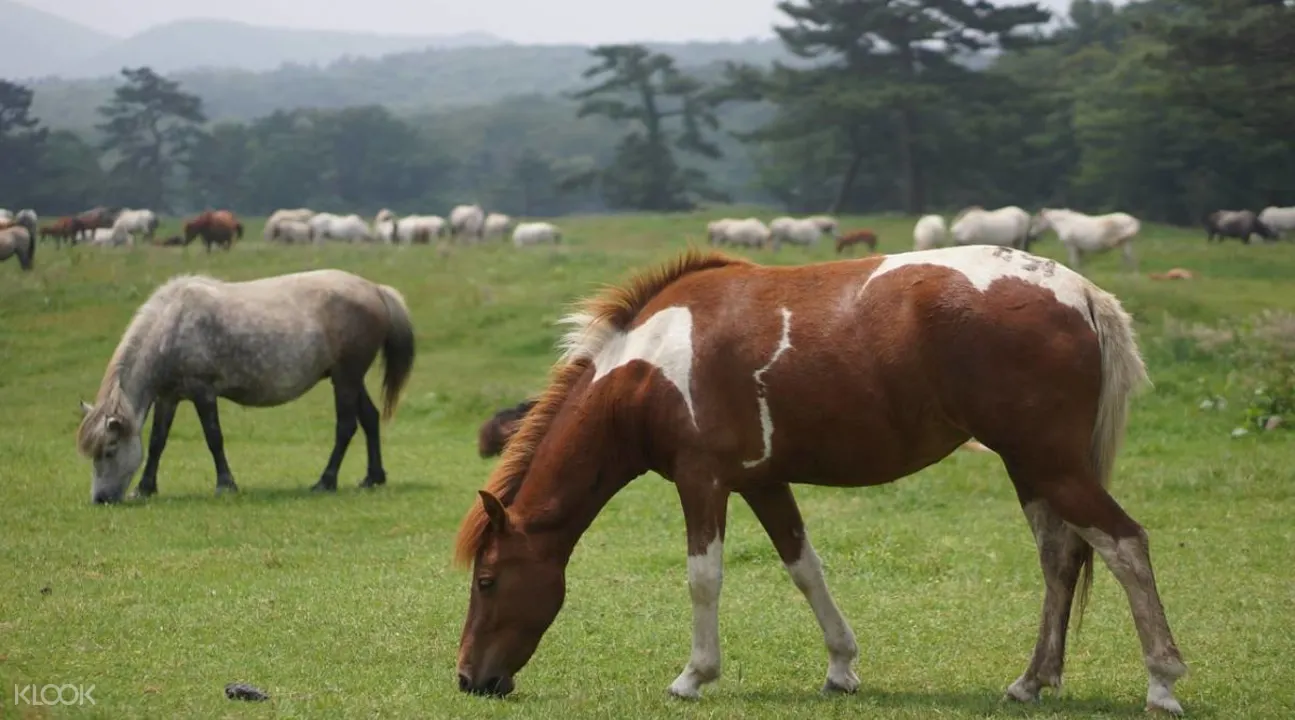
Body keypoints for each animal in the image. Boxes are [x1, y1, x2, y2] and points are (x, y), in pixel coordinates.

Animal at [75, 269, 417, 504]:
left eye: (109, 450)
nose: (101, 499)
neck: (171, 326)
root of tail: (375, 289)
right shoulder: (168, 397)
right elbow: (159, 441)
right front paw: (145, 488)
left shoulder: (203, 392)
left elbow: (214, 438)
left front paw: (225, 484)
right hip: (348, 377)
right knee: (370, 418)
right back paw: (373, 478)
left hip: (346, 378)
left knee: (346, 426)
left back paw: (326, 481)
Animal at [451, 246, 1188, 715]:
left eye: (486, 580)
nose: (468, 678)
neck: (647, 367)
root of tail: (1080, 292)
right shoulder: (762, 483)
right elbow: (804, 568)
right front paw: (840, 668)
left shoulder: (701, 480)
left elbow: (703, 578)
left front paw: (694, 675)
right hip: (1032, 469)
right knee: (1061, 558)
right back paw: (1031, 682)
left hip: (1046, 463)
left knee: (1125, 544)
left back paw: (1162, 682)